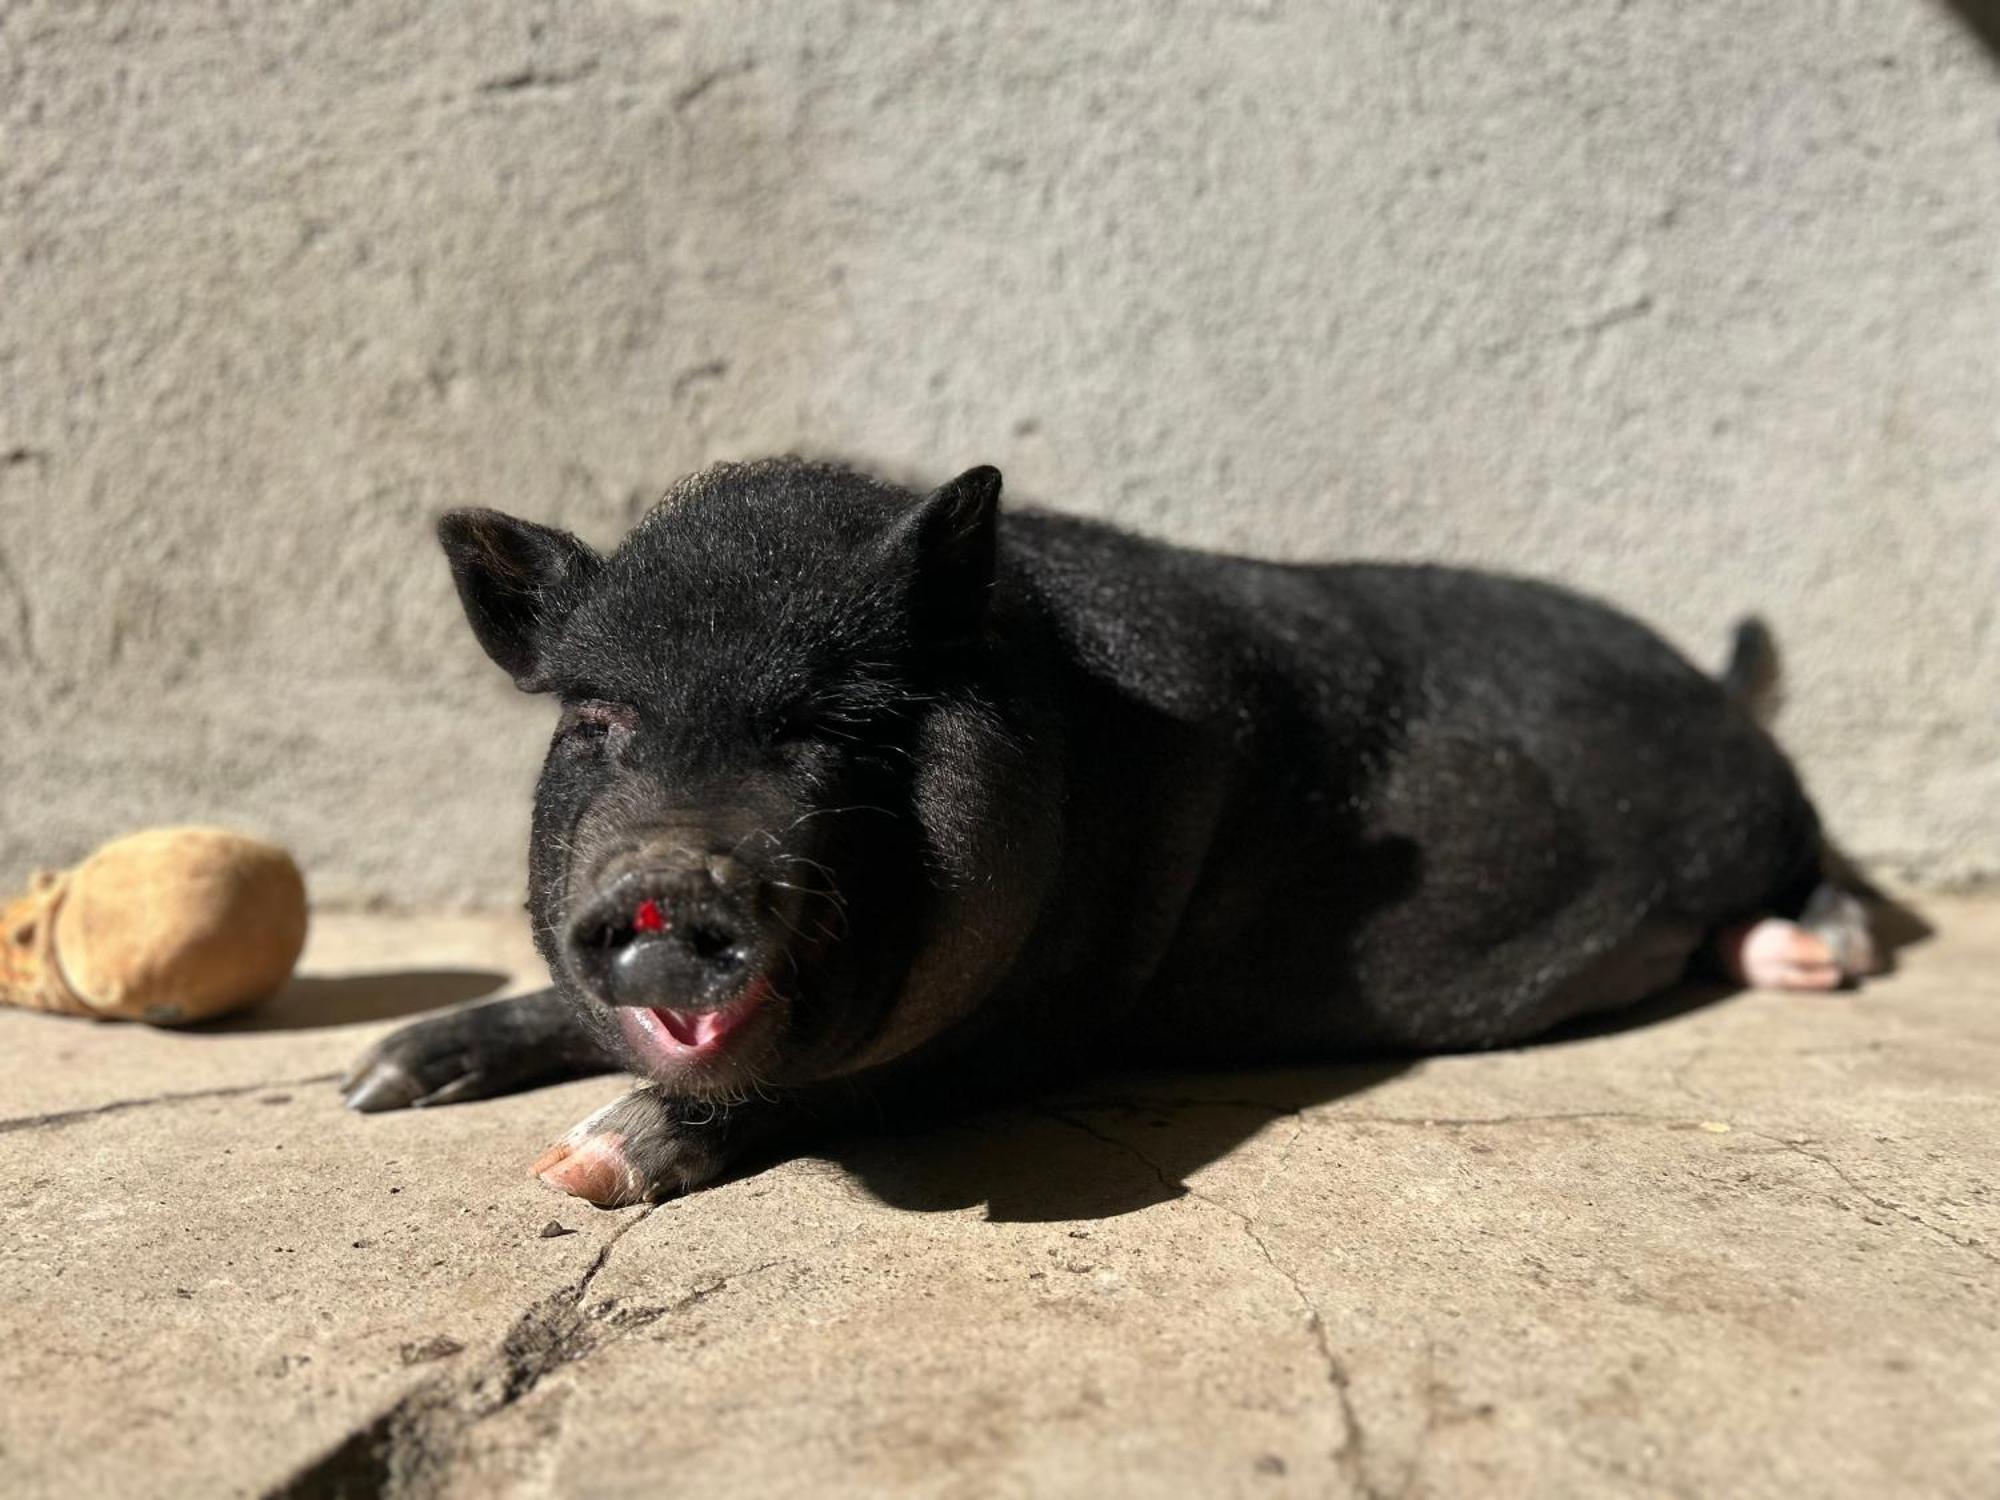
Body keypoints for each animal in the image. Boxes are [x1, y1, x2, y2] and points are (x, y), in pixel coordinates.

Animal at [344, 462, 1872, 1208]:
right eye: (599, 716)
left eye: (840, 723)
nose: (670, 876)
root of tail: (1713, 681)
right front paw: (378, 1082)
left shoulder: (1052, 1022)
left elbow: (840, 1089)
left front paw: (583, 1168)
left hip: (1771, 814)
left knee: (1825, 870)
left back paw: (1819, 963)